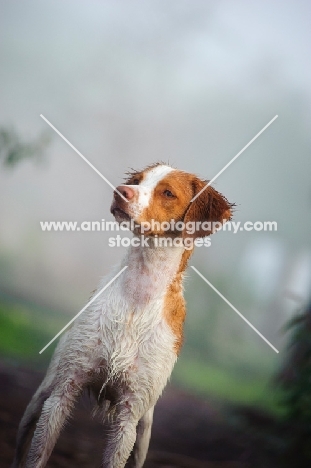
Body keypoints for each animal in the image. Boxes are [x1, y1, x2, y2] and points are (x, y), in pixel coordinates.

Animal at [12, 163, 234, 466]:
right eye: (138, 181)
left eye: (168, 192)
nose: (120, 191)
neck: (137, 297)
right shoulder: (63, 392)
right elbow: (37, 456)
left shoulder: (130, 416)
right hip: (41, 395)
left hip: (144, 433)